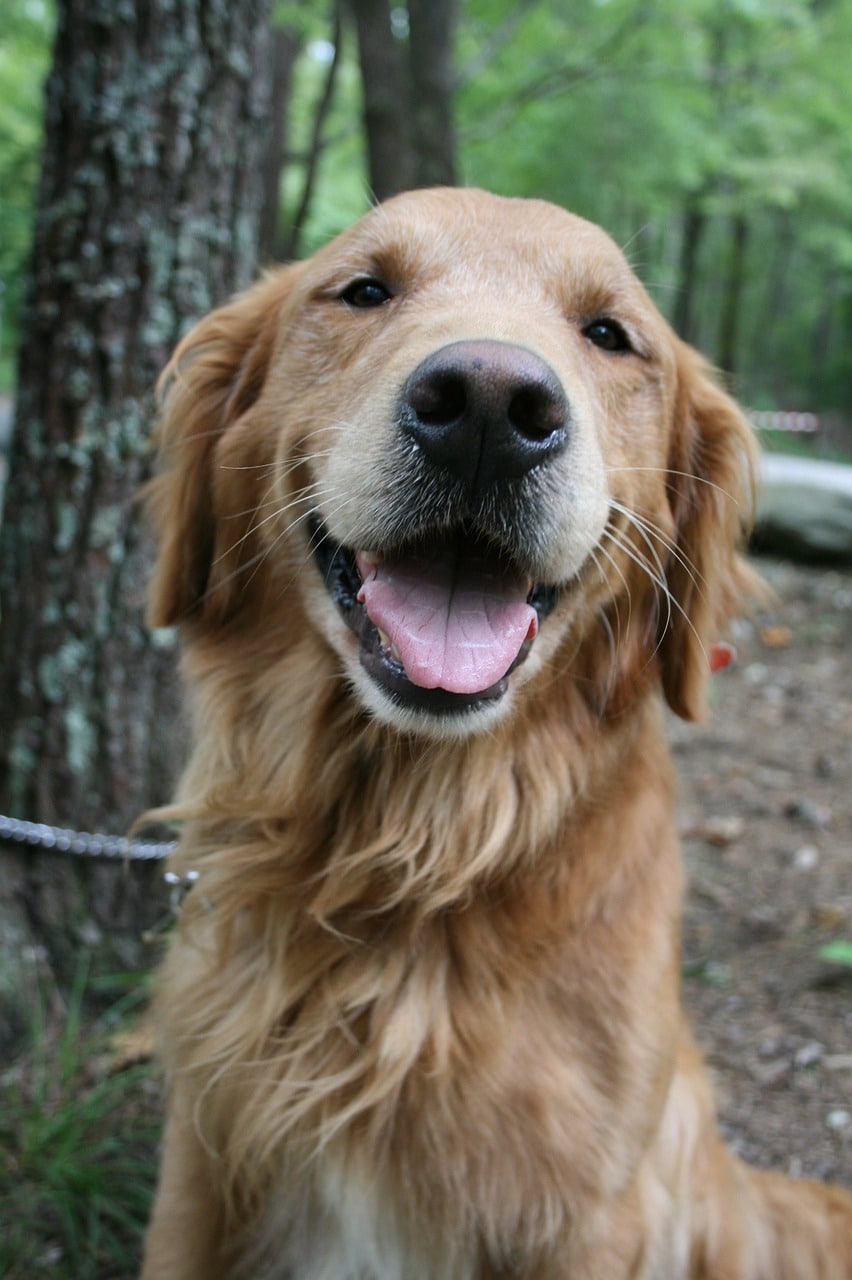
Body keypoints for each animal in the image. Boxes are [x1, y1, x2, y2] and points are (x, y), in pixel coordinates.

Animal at [139, 185, 849, 1274]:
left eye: (609, 334)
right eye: (364, 289)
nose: (488, 407)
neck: (406, 858)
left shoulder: (593, 1214)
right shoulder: (200, 1159)